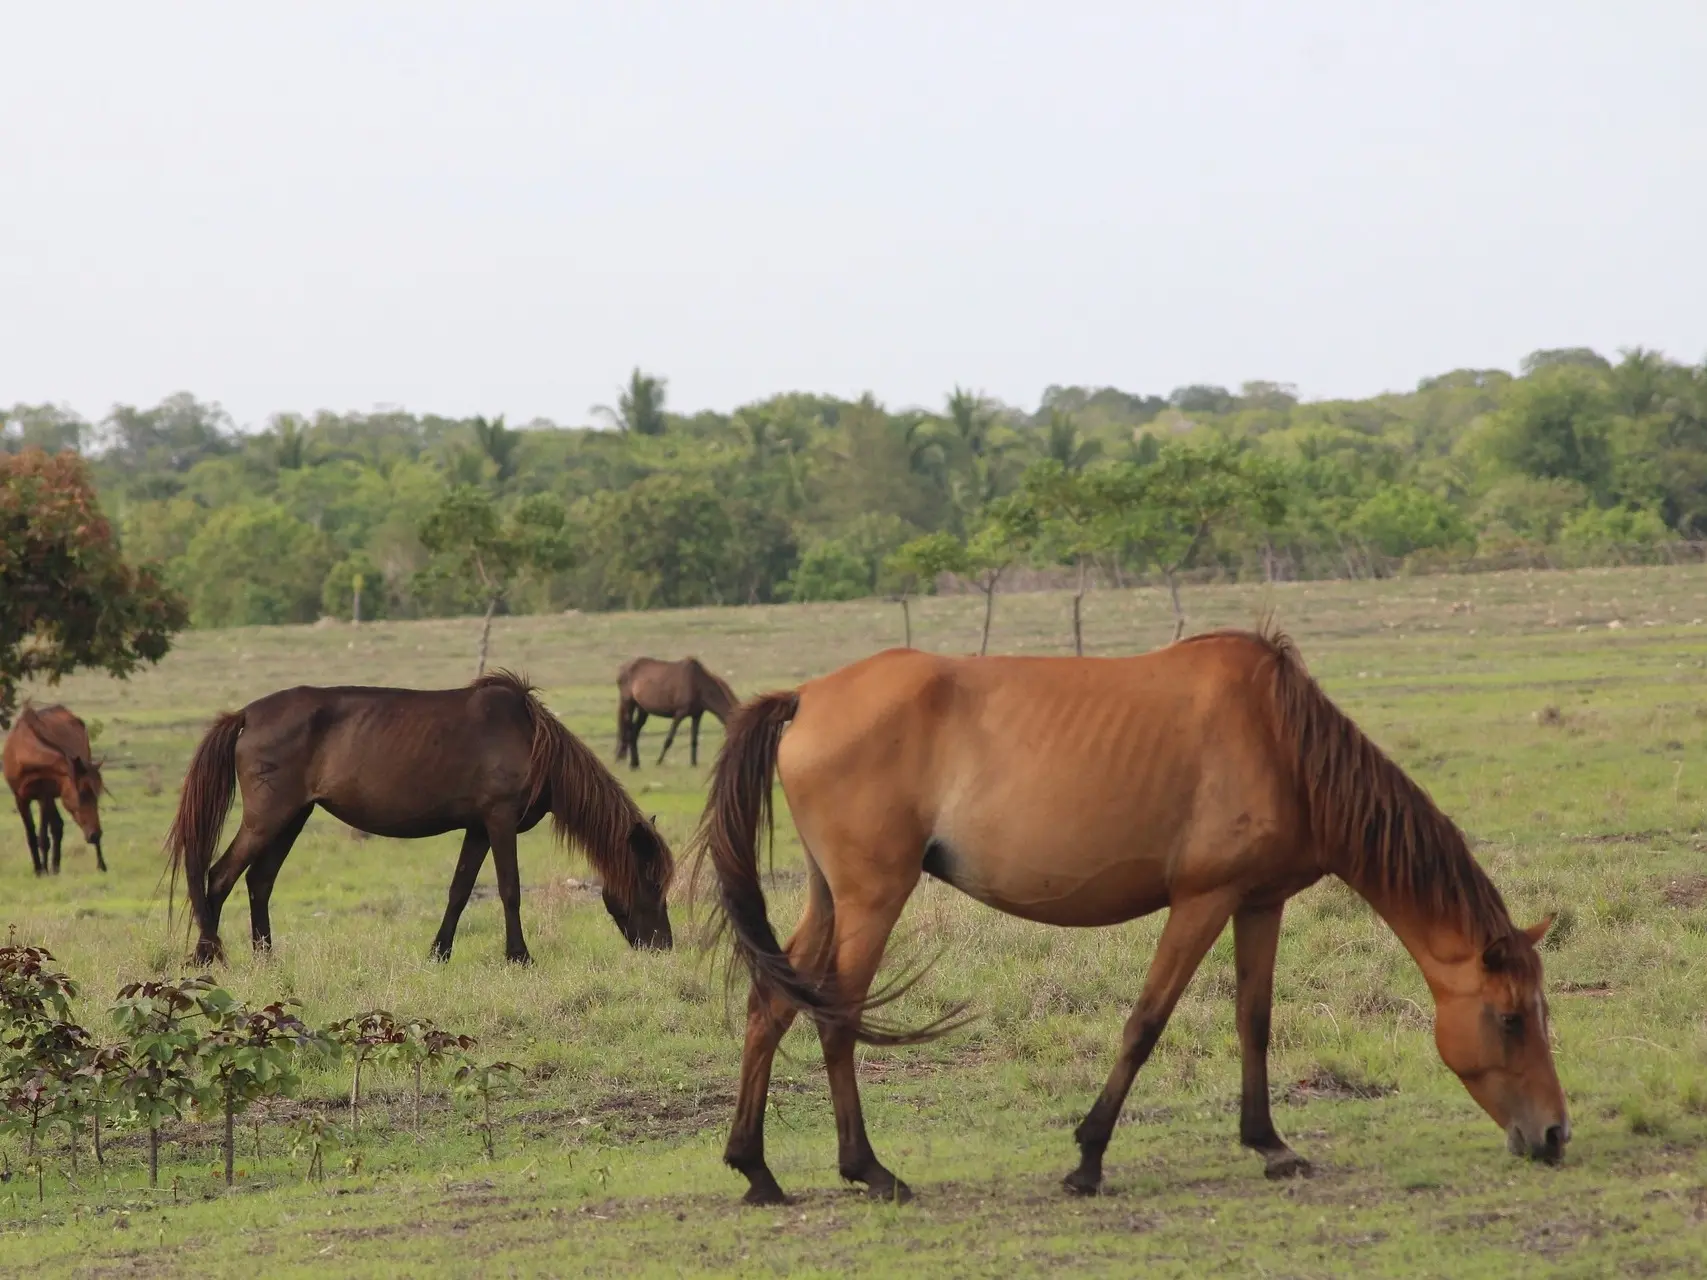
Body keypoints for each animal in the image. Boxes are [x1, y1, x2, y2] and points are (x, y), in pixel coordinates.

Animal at [2, 706, 106, 880]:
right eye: (82, 793)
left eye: (97, 796)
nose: (95, 835)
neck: (23, 752)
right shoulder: (21, 799)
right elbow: (31, 835)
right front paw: (39, 870)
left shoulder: (44, 796)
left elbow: (44, 837)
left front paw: (44, 870)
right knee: (57, 826)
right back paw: (55, 867)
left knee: (56, 827)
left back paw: (101, 866)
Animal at [164, 675, 672, 969]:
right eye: (650, 882)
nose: (664, 946)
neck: (531, 739)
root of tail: (246, 715)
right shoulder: (500, 820)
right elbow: (509, 888)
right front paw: (519, 956)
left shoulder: (479, 828)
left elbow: (460, 889)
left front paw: (439, 953)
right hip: (267, 819)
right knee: (219, 876)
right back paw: (208, 956)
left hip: (292, 818)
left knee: (259, 882)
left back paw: (266, 958)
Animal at [686, 631, 1563, 1215]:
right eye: (1510, 1020)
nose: (1553, 1136)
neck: (1282, 742)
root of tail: (806, 698)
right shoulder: (1202, 901)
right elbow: (1145, 1024)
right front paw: (1088, 1160)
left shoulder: (1258, 902)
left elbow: (1253, 1022)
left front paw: (1269, 1145)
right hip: (873, 898)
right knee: (835, 1018)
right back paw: (868, 1170)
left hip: (830, 899)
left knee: (771, 1006)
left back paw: (756, 1172)